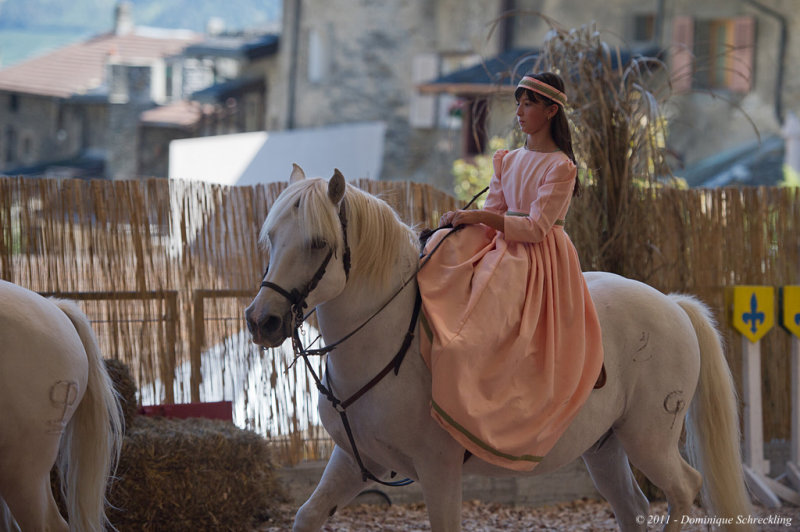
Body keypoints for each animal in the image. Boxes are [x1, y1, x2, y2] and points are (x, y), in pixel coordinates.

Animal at [245, 167, 756, 532]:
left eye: (318, 243)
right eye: (271, 238)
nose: (261, 320)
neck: (387, 343)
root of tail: (672, 304)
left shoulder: (439, 471)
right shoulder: (354, 461)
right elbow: (308, 515)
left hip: (649, 439)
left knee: (685, 490)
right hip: (605, 448)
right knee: (633, 508)